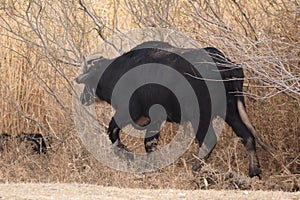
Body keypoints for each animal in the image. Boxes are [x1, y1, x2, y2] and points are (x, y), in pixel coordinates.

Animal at [75, 41, 262, 178]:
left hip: (200, 116)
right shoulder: (155, 120)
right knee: (247, 136)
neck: (118, 72)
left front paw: (128, 156)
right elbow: (149, 144)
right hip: (231, 112)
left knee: (209, 140)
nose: (83, 98)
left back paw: (195, 169)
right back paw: (254, 173)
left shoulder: (127, 112)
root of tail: (225, 65)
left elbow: (112, 132)